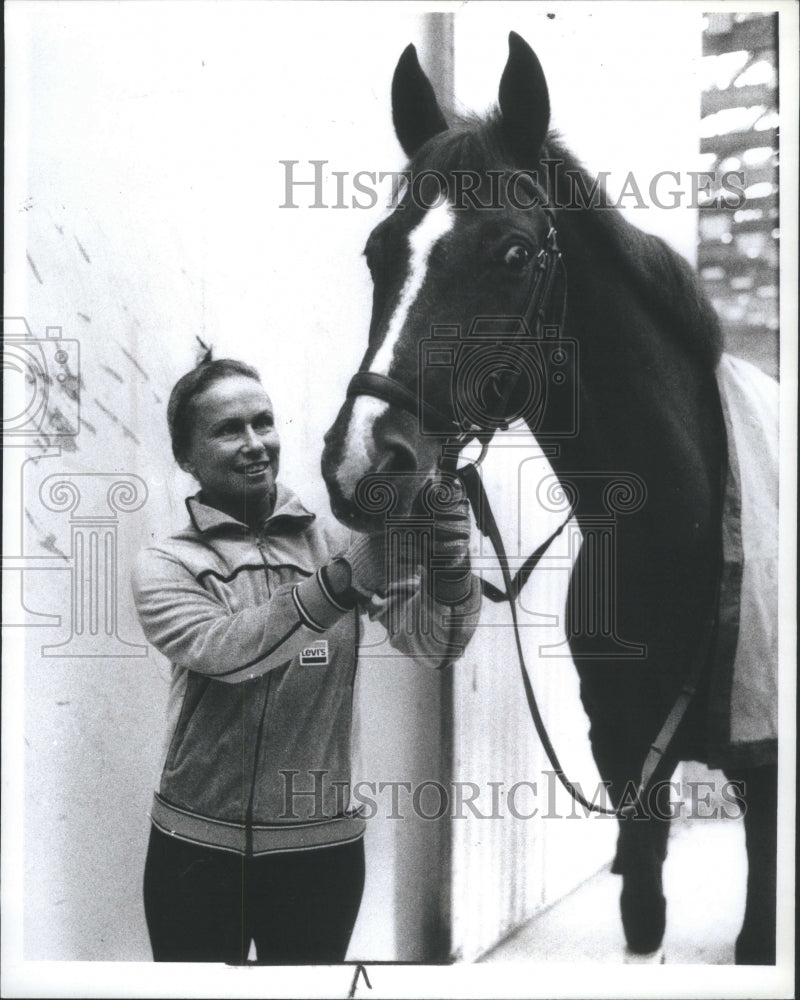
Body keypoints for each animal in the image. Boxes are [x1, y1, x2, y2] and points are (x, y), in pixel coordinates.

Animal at [318, 31, 776, 964]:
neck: (680, 537)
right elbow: (643, 908)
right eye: (379, 250)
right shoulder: (629, 764)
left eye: (516, 254)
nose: (362, 461)